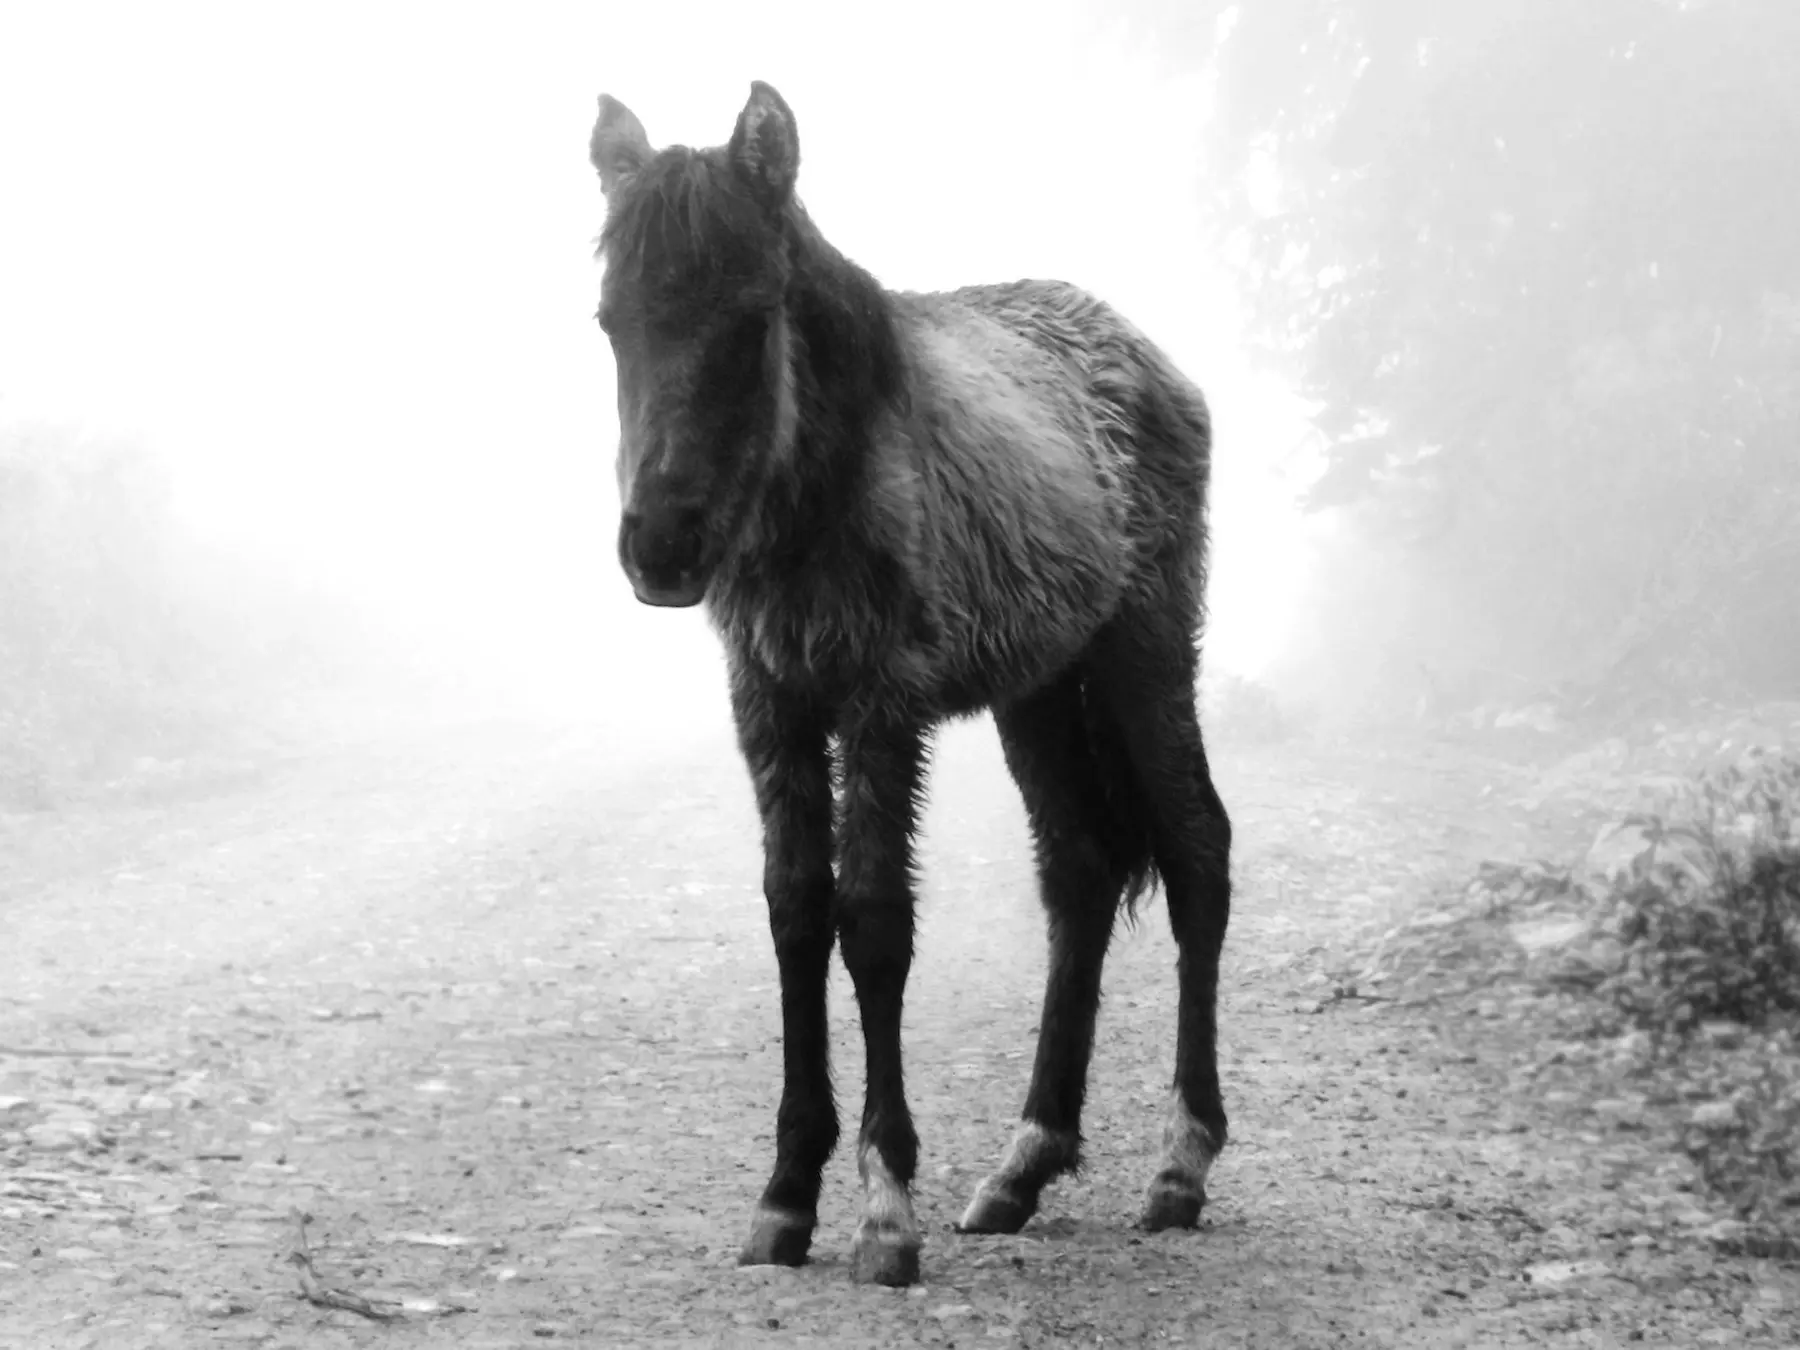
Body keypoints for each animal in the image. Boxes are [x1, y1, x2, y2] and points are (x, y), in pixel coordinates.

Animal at [583, 76, 1231, 1288]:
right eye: (611, 321)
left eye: (750, 314)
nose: (660, 547)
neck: (824, 475)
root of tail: (1143, 354)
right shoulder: (776, 707)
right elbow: (796, 913)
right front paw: (787, 1195)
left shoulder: (882, 707)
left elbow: (874, 922)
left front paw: (886, 1209)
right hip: (1040, 692)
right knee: (1078, 878)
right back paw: (1023, 1166)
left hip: (1146, 654)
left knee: (1198, 853)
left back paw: (1181, 1166)